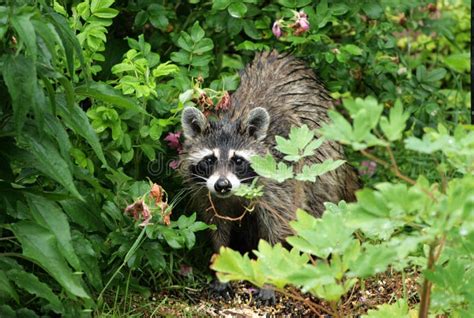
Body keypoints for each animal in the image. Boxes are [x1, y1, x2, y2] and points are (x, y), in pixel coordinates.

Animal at [180, 51, 358, 256]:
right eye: (210, 159)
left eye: (238, 160)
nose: (222, 185)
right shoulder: (206, 193)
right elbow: (217, 226)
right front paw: (222, 255)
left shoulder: (281, 180)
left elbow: (282, 225)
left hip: (323, 170)